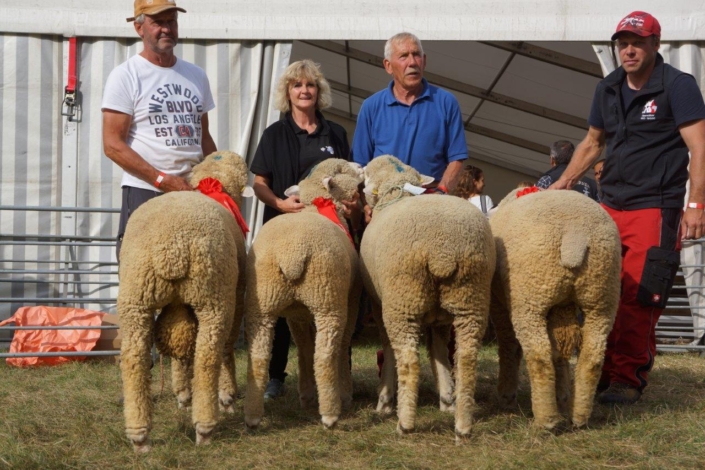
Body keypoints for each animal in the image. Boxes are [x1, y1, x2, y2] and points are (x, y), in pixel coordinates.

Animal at [119, 151, 252, 452]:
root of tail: (171, 246)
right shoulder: (237, 295)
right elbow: (224, 348)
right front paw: (227, 396)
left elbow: (179, 346)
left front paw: (182, 394)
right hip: (214, 297)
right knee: (209, 356)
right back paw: (205, 426)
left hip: (135, 298)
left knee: (134, 359)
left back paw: (139, 434)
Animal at [243, 158, 364, 430]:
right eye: (340, 170)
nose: (361, 166)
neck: (317, 207)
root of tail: (292, 254)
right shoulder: (351, 301)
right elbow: (340, 346)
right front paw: (345, 393)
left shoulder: (296, 315)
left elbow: (304, 348)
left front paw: (307, 395)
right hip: (328, 300)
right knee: (326, 356)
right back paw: (331, 413)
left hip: (264, 301)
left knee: (258, 357)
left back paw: (253, 416)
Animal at [358, 154, 496, 436]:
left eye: (365, 174)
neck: (398, 193)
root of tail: (441, 251)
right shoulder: (440, 319)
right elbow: (439, 351)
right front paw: (446, 398)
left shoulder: (379, 306)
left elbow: (389, 349)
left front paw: (384, 400)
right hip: (470, 295)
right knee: (465, 358)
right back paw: (462, 424)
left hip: (403, 299)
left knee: (409, 360)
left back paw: (404, 422)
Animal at [486, 187, 620, 430]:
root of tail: (574, 235)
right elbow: (559, 354)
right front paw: (563, 396)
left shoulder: (498, 304)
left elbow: (509, 347)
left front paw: (506, 396)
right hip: (601, 297)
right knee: (592, 357)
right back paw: (579, 417)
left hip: (530, 299)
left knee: (539, 355)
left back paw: (546, 420)